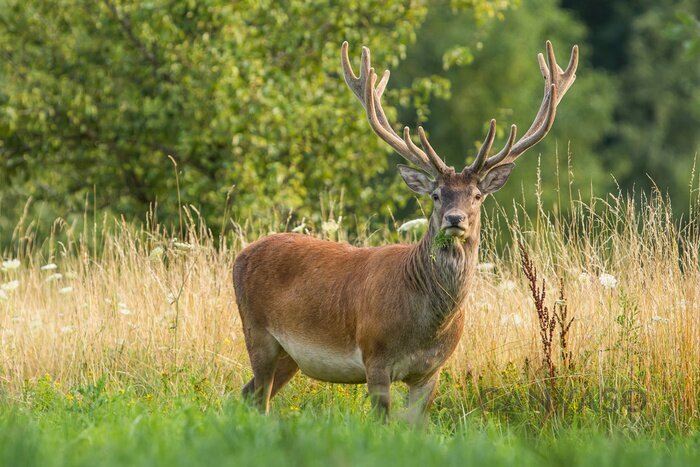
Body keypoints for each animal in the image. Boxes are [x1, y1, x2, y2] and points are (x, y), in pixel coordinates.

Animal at [232, 39, 576, 420]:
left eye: (476, 195)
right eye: (437, 195)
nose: (454, 219)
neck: (425, 328)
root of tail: (241, 255)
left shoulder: (431, 371)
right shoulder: (375, 356)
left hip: (289, 355)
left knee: (245, 394)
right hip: (257, 331)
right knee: (257, 397)